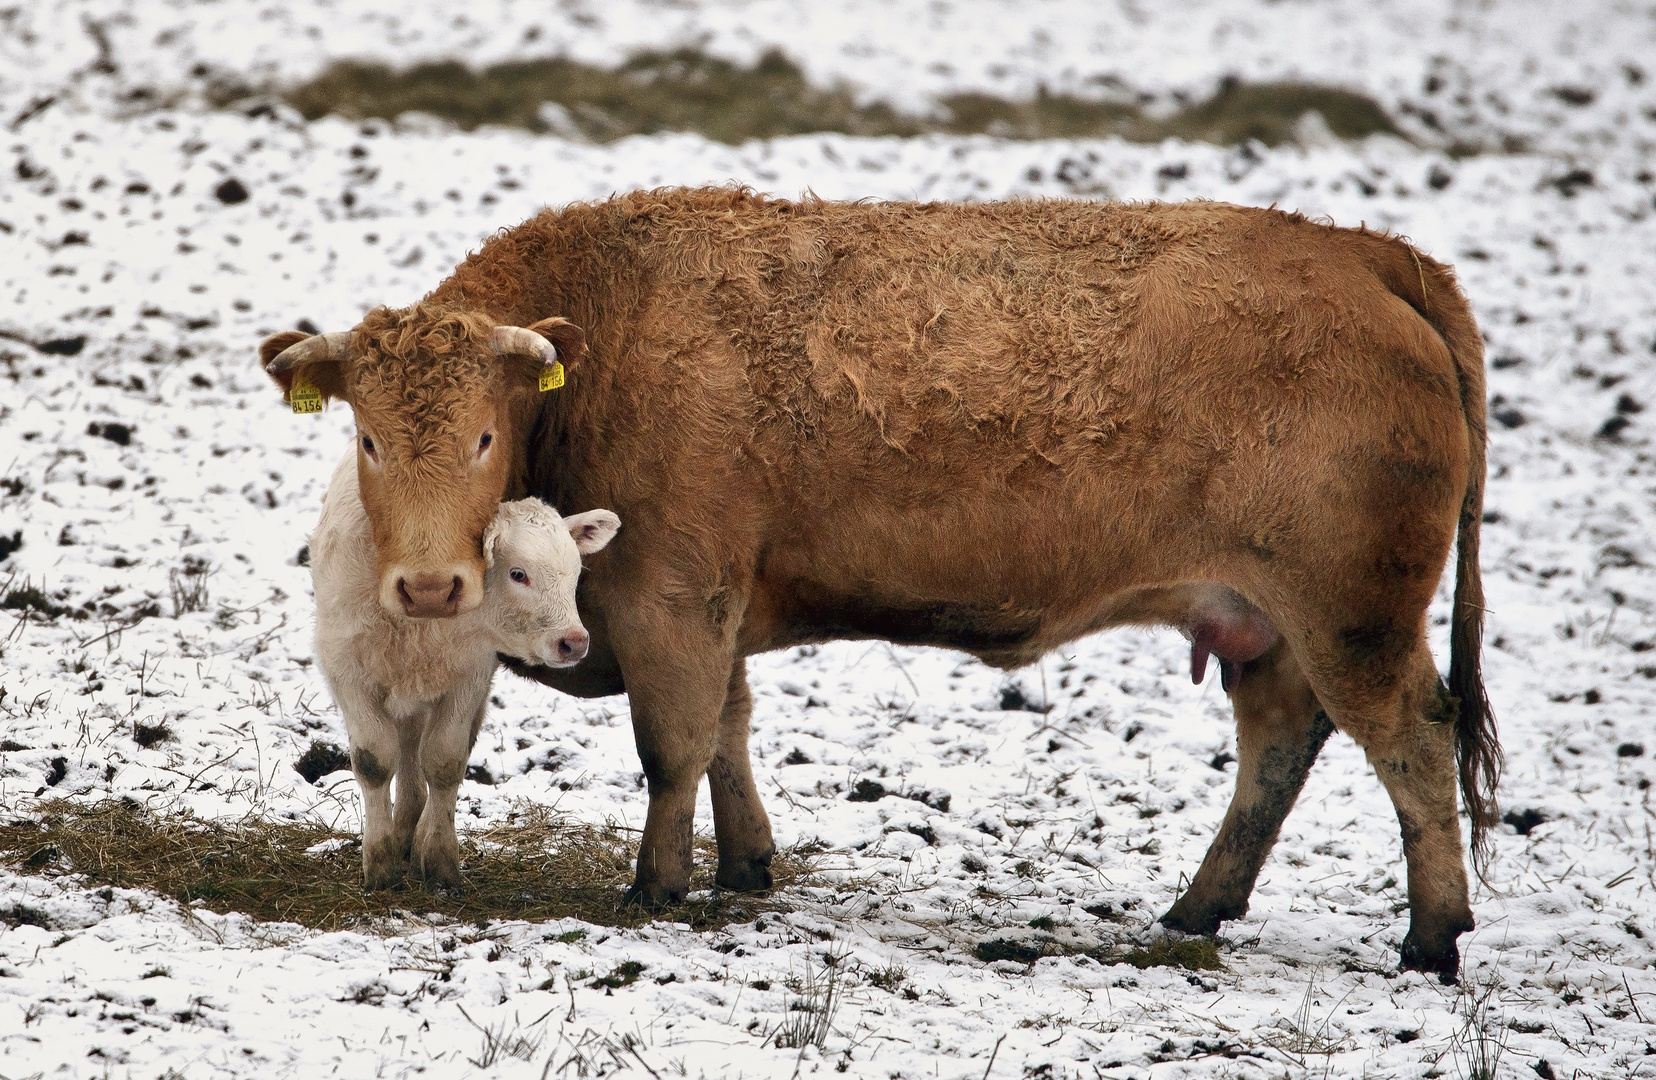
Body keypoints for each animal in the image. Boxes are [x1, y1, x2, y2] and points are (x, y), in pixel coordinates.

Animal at [311, 450, 622, 887]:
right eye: (518, 573)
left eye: (576, 573)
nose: (574, 641)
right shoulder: (346, 667)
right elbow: (374, 761)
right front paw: (380, 864)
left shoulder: (470, 673)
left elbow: (444, 760)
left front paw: (438, 859)